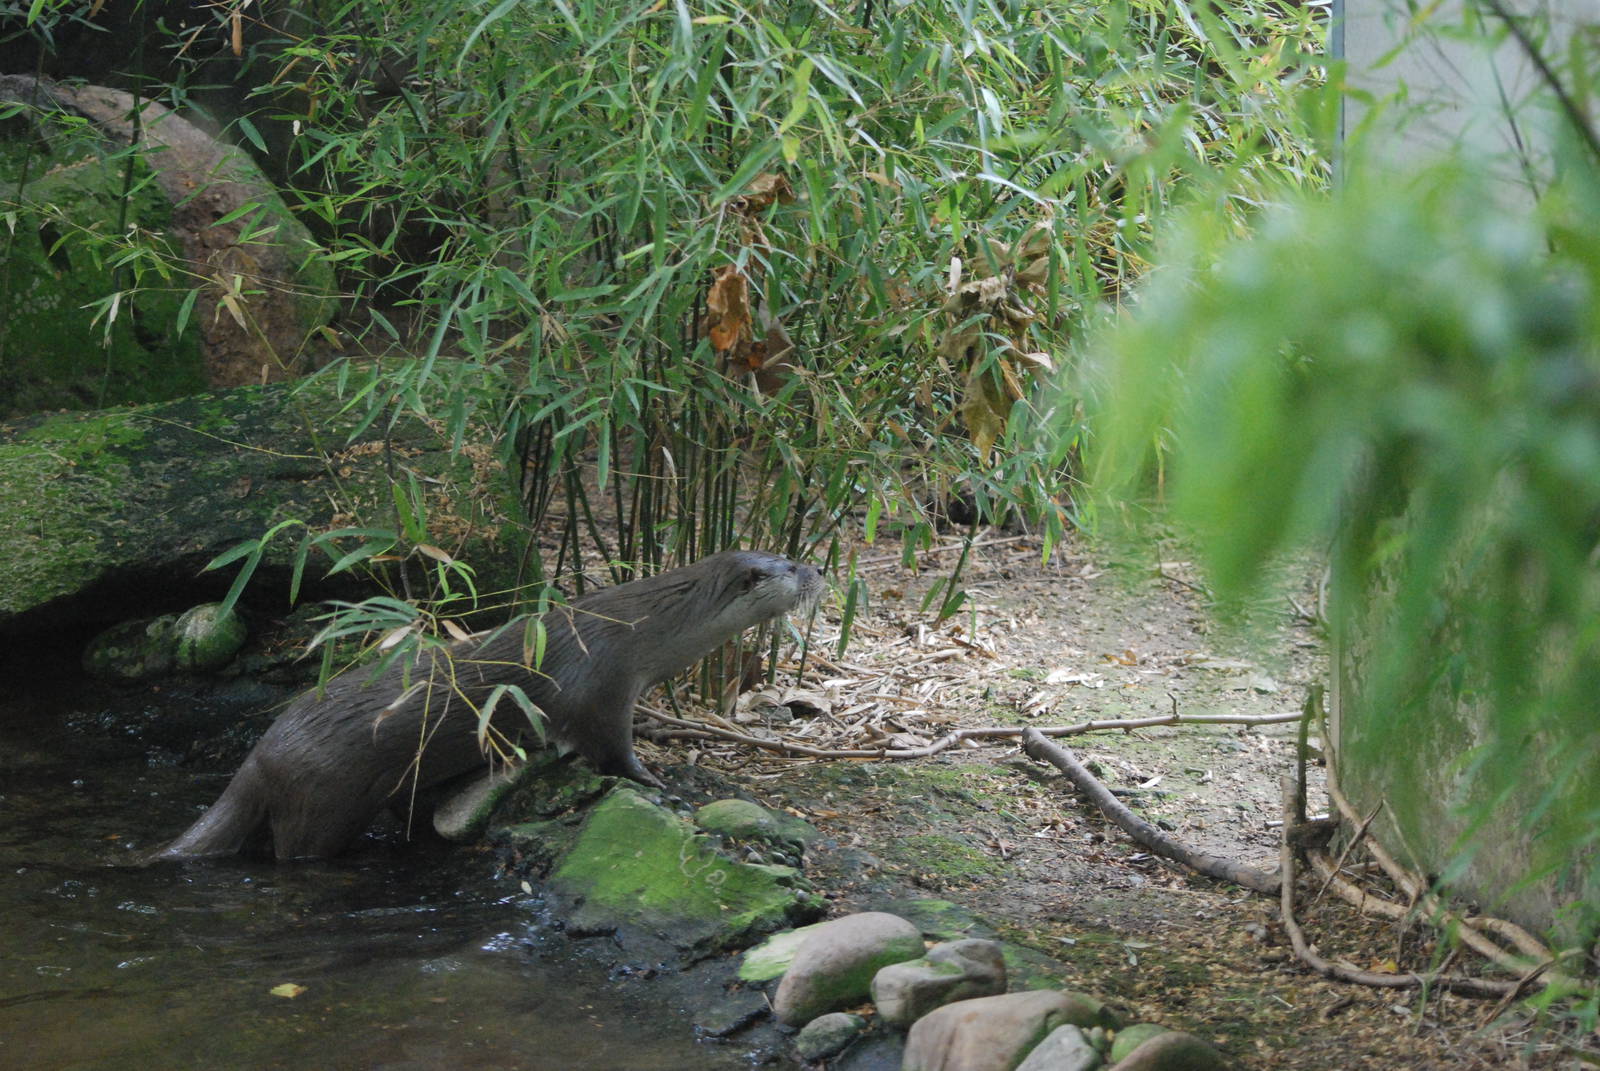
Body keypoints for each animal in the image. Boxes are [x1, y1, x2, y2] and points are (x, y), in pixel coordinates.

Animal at [151, 550, 822, 861]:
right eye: (791, 565)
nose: (819, 571)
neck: (638, 629)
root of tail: (260, 756)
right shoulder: (603, 687)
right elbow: (612, 750)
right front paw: (655, 780)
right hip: (317, 802)